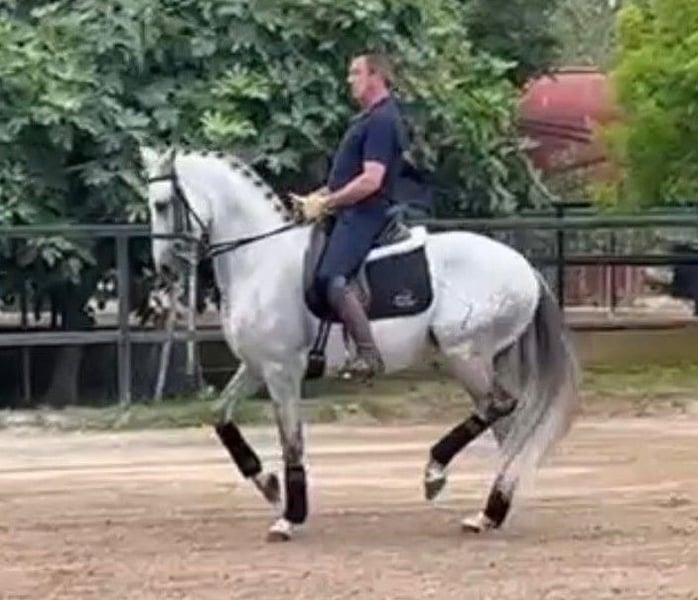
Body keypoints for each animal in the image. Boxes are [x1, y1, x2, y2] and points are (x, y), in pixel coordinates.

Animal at [141, 146, 580, 542]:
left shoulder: (282, 371)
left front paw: (290, 517)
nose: (164, 269)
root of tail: (525, 268)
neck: (259, 259)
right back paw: (489, 513)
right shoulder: (255, 366)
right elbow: (220, 416)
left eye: (162, 204)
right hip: (485, 358)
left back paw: (437, 473)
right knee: (508, 428)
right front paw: (267, 484)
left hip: (465, 353)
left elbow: (292, 442)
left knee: (497, 407)